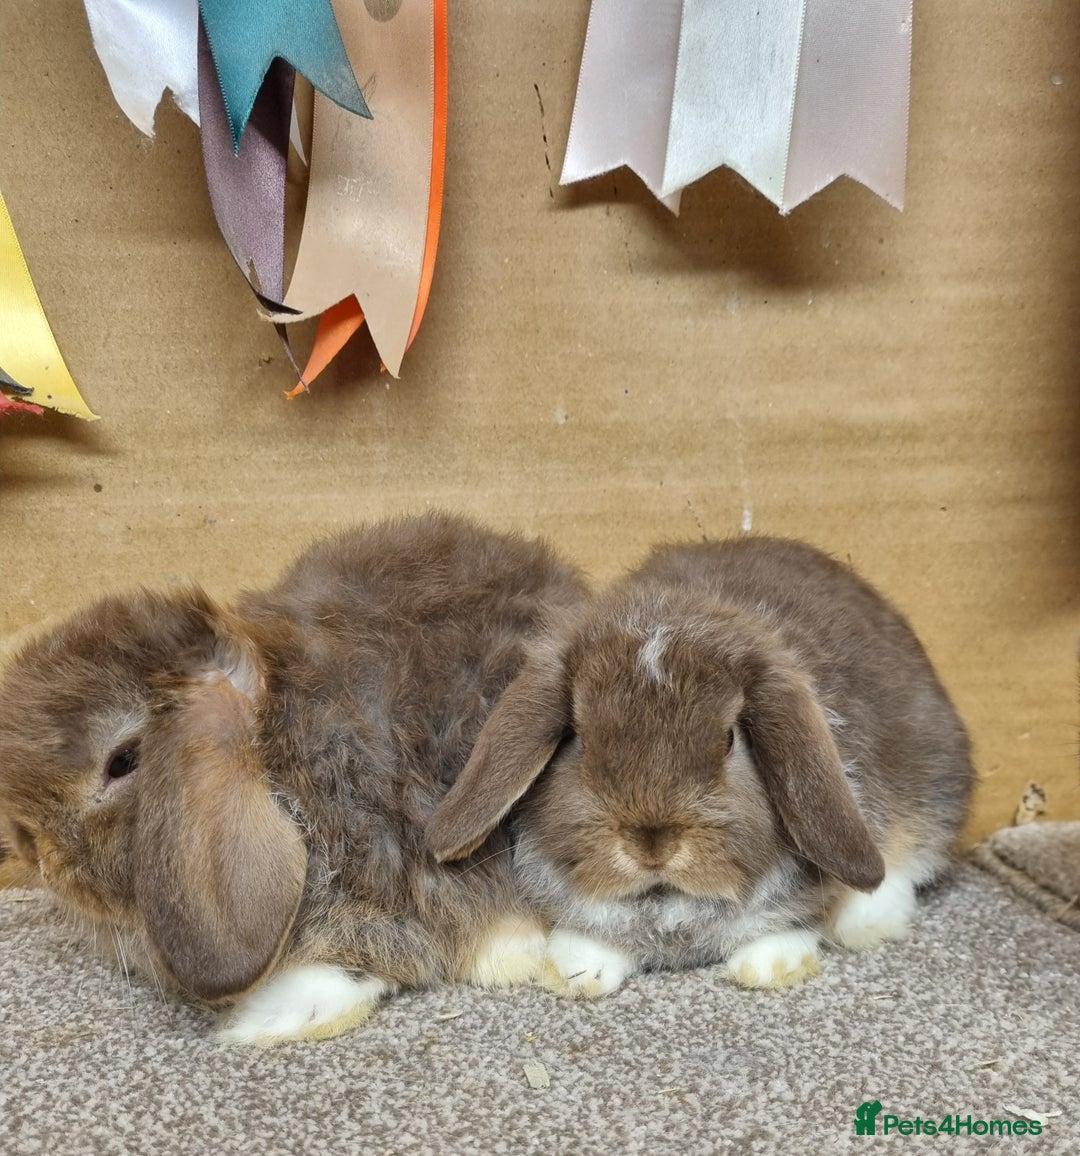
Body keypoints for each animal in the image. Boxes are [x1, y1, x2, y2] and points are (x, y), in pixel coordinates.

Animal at [427, 535, 975, 997]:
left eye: (729, 738)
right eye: (579, 737)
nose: (652, 843)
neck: (668, 904)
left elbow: (791, 921)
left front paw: (768, 969)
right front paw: (573, 973)